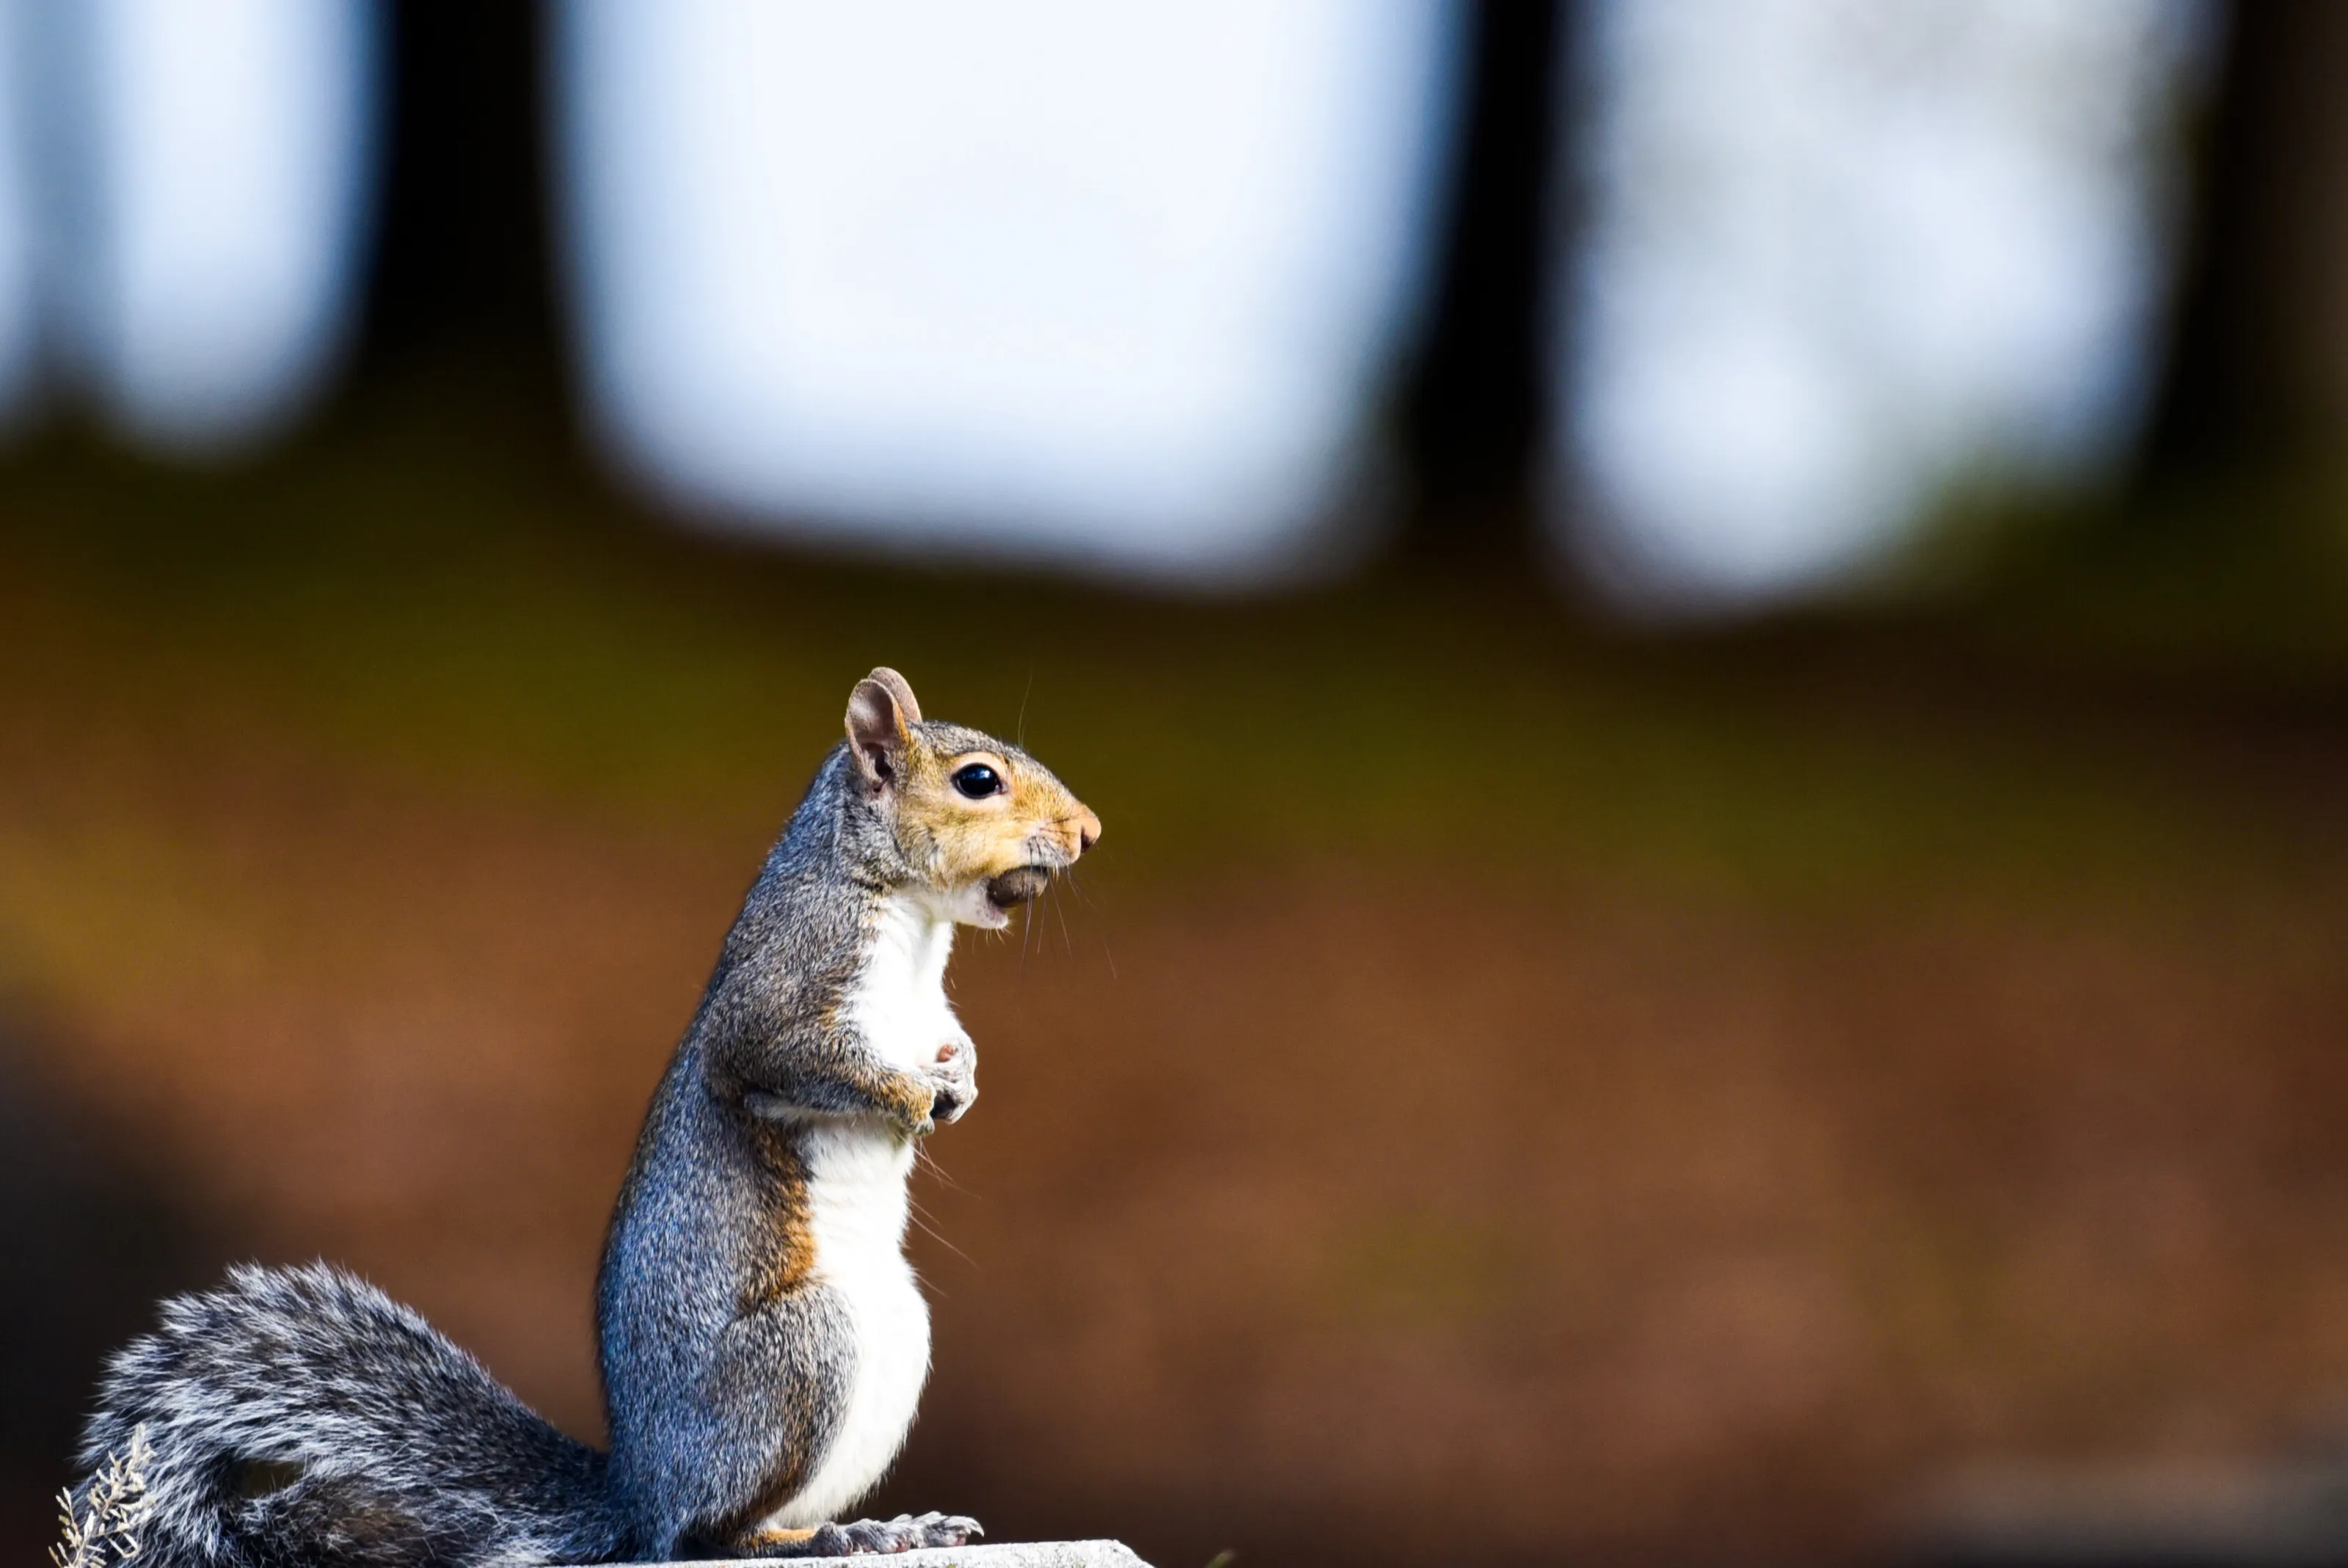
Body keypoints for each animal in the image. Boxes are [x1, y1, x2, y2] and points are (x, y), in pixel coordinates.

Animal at [72, 668, 1101, 1566]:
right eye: (977, 781)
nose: (1088, 832)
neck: (909, 918)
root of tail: (638, 1495)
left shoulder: (926, 1010)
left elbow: (950, 1043)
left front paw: (961, 1079)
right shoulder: (785, 990)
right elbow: (789, 1062)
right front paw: (914, 1096)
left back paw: (892, 1526)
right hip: (801, 1357)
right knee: (710, 1536)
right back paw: (821, 1537)